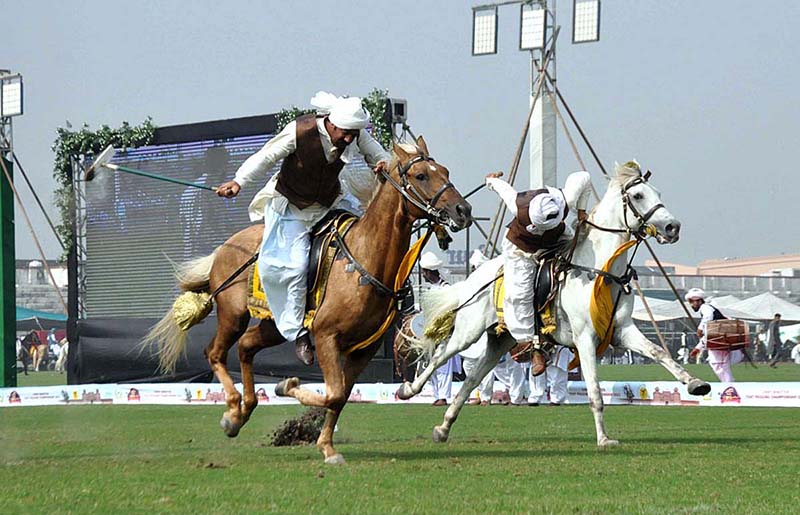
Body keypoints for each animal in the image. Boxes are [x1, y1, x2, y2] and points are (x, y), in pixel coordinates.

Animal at [147, 137, 472, 464]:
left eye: (445, 171)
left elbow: (341, 396)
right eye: (421, 176)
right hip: (233, 315)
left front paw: (326, 444)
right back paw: (233, 411)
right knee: (214, 352)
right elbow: (334, 393)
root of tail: (224, 248)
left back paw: (243, 411)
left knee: (246, 347)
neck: (364, 261)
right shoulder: (326, 336)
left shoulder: (363, 350)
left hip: (276, 325)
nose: (463, 209)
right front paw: (287, 387)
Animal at [396, 162, 708, 448]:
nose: (673, 227)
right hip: (468, 332)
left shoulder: (622, 330)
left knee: (472, 379)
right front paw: (604, 439)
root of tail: (474, 278)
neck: (601, 271)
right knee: (440, 357)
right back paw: (409, 390)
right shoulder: (585, 338)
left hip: (500, 340)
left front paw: (696, 383)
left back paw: (444, 427)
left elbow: (660, 353)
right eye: (639, 195)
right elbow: (595, 392)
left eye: (657, 193)